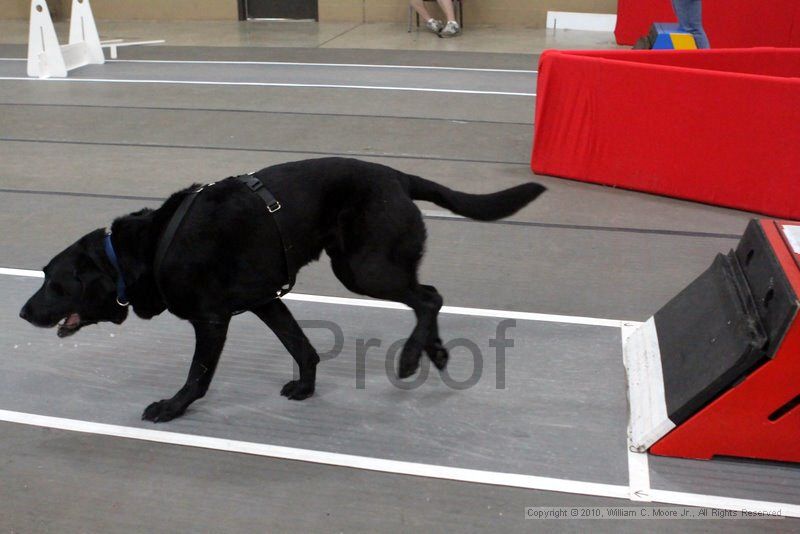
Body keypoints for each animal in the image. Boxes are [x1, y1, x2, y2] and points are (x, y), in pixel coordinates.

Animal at [20, 157, 544, 426]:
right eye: (44, 275)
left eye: (56, 283)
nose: (23, 313)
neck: (144, 251)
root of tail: (400, 177)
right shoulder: (265, 299)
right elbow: (301, 345)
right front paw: (307, 387)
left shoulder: (211, 319)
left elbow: (198, 374)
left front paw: (172, 407)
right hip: (364, 266)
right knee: (426, 296)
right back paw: (433, 352)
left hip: (363, 269)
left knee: (429, 296)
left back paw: (413, 358)